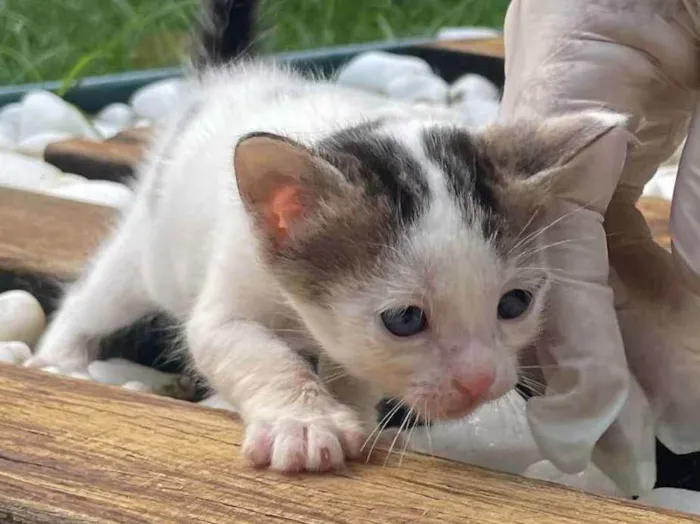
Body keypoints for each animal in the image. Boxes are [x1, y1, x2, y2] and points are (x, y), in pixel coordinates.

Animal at [24, 6, 628, 472]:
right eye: (404, 319)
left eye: (515, 303)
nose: (481, 382)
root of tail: (227, 78)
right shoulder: (229, 289)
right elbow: (253, 352)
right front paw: (304, 423)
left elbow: (352, 369)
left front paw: (351, 413)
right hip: (149, 245)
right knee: (98, 295)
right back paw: (59, 357)